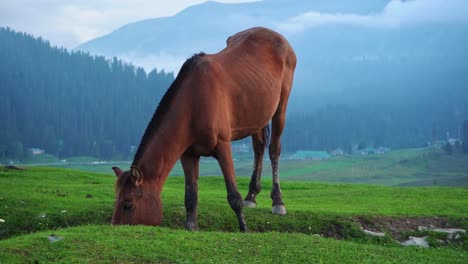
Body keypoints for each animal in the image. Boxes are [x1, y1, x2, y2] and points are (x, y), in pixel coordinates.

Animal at [110, 25, 296, 230]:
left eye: (128, 204)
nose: (113, 225)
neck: (193, 103)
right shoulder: (188, 154)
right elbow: (191, 196)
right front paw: (191, 226)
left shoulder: (223, 147)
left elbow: (233, 196)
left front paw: (244, 227)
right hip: (257, 116)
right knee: (258, 148)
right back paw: (252, 196)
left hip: (280, 109)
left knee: (273, 149)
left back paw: (278, 201)